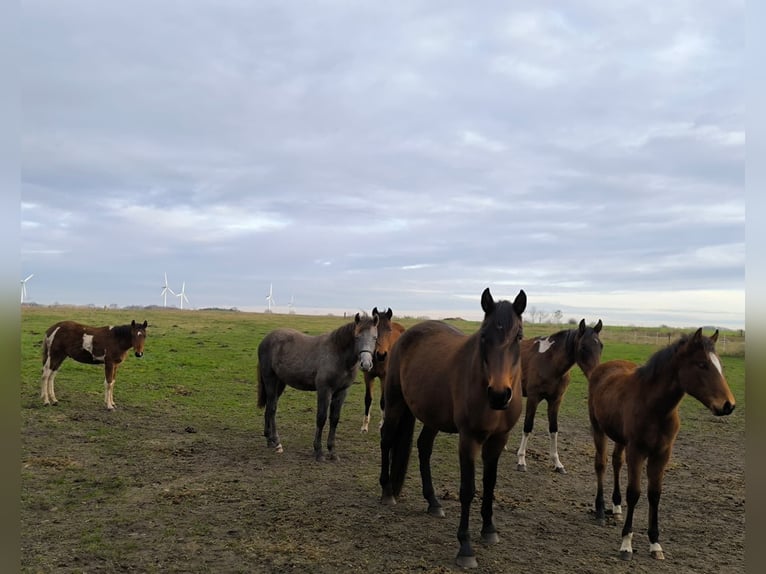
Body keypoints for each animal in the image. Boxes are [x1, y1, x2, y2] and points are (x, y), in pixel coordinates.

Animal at [257, 311, 380, 461]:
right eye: (357, 337)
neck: (338, 355)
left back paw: (269, 440)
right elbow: (321, 418)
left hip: (280, 383)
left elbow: (334, 419)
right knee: (272, 408)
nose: (366, 364)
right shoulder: (324, 390)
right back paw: (277, 442)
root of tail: (266, 339)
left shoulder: (342, 391)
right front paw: (319, 451)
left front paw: (332, 451)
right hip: (270, 379)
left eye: (375, 337)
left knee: (269, 407)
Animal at [379, 287, 527, 569]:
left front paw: (489, 529)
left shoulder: (498, 440)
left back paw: (433, 502)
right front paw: (465, 548)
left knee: (423, 447)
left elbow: (489, 484)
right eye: (484, 335)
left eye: (519, 336)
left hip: (432, 417)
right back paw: (387, 492)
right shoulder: (469, 439)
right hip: (394, 403)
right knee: (386, 439)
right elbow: (468, 490)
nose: (499, 395)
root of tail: (405, 335)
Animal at [515, 318, 603, 473]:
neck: (549, 362)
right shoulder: (533, 398)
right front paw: (521, 460)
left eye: (601, 346)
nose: (596, 376)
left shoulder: (556, 400)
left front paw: (557, 463)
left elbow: (554, 429)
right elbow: (527, 426)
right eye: (583, 347)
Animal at [587, 328, 735, 561]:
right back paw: (601, 510)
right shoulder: (637, 451)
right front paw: (626, 544)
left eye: (719, 364)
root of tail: (602, 368)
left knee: (616, 462)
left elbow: (655, 494)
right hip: (598, 428)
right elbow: (635, 493)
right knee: (600, 464)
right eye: (702, 364)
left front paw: (655, 543)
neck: (655, 407)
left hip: (620, 438)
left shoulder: (662, 453)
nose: (728, 405)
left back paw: (616, 507)